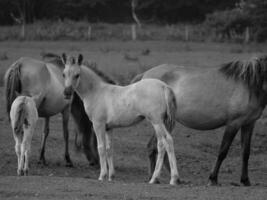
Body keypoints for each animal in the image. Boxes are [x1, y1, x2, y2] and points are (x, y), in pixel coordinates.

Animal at [62, 54, 181, 185]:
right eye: (63, 74)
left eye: (77, 75)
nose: (67, 92)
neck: (96, 92)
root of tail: (164, 86)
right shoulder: (109, 128)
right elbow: (109, 149)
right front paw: (111, 176)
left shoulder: (98, 125)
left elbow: (101, 148)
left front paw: (102, 176)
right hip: (162, 122)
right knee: (161, 144)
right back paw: (157, 178)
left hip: (156, 122)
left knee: (167, 141)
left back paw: (169, 179)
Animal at [132, 54, 267, 186]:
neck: (249, 85)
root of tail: (145, 74)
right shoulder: (234, 123)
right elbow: (223, 151)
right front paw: (213, 179)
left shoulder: (249, 124)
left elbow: (246, 153)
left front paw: (245, 180)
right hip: (160, 122)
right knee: (154, 146)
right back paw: (155, 177)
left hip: (166, 122)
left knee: (158, 146)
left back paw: (170, 178)